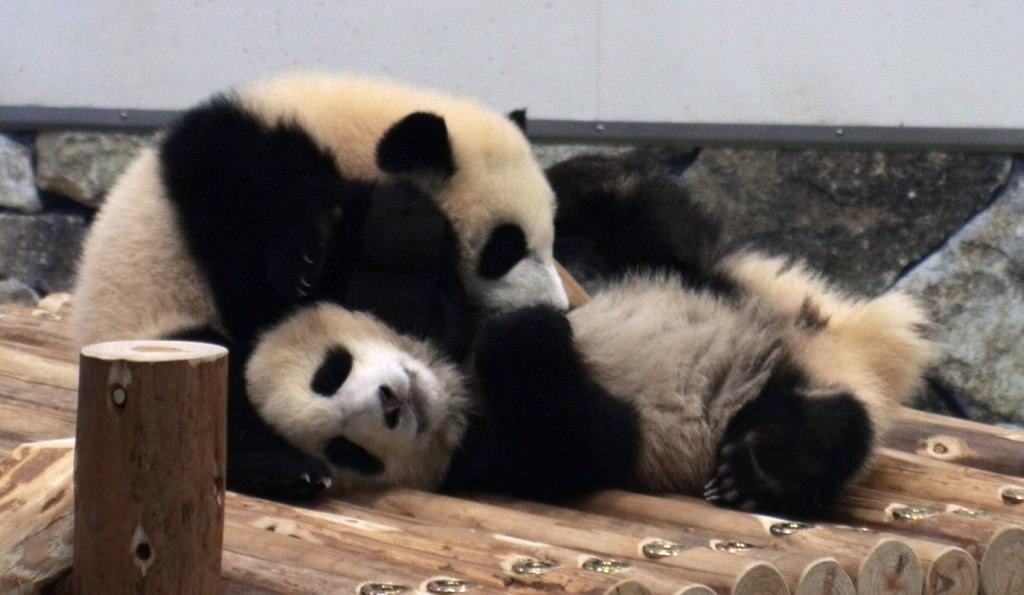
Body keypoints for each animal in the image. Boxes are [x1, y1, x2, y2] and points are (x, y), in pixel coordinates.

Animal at [72, 72, 567, 499]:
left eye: (551, 239)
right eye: (505, 248)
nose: (557, 308)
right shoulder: (236, 176)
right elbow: (268, 284)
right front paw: (312, 256)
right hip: (155, 324)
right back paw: (287, 468)